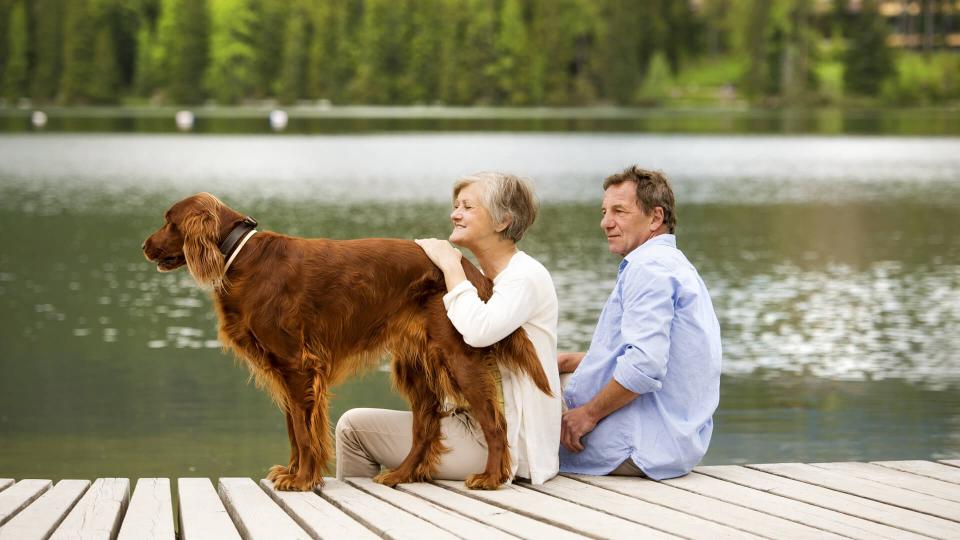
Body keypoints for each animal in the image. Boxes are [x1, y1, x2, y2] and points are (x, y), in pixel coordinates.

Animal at [141, 192, 548, 492]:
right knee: (426, 423)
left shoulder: (297, 365)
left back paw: (490, 478)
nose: (144, 246)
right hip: (414, 362)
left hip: (459, 356)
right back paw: (400, 474)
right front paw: (293, 472)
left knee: (494, 422)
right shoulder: (286, 370)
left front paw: (303, 479)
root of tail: (469, 269)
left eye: (169, 221)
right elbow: (294, 428)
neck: (240, 254)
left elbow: (304, 431)